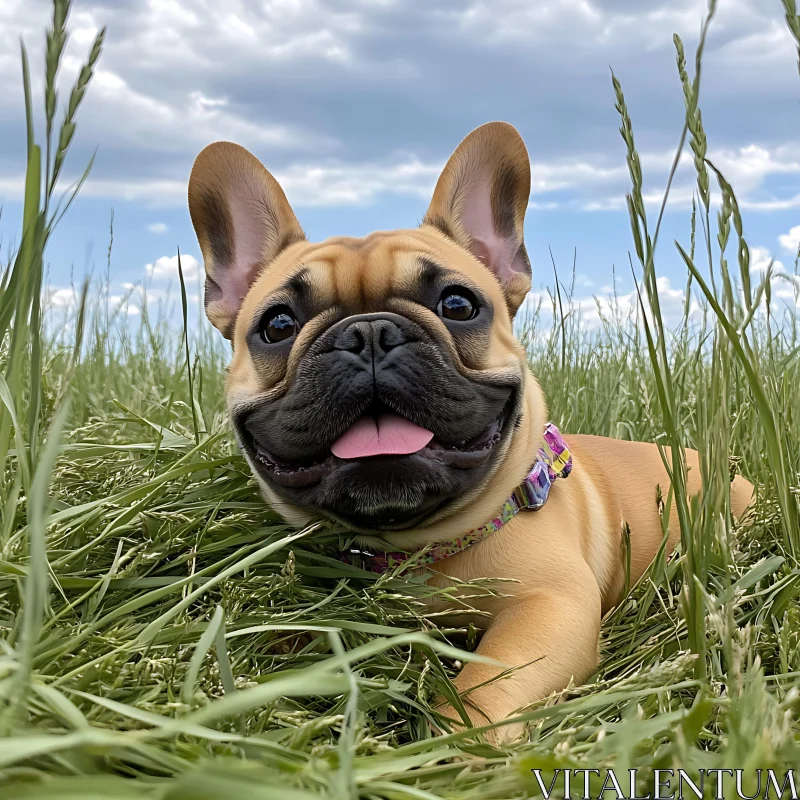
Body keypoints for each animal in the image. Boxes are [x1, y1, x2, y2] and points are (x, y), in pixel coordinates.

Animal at [186, 122, 752, 740]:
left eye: (457, 304)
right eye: (277, 325)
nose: (369, 334)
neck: (411, 548)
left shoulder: (551, 606)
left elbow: (489, 681)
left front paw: (460, 744)